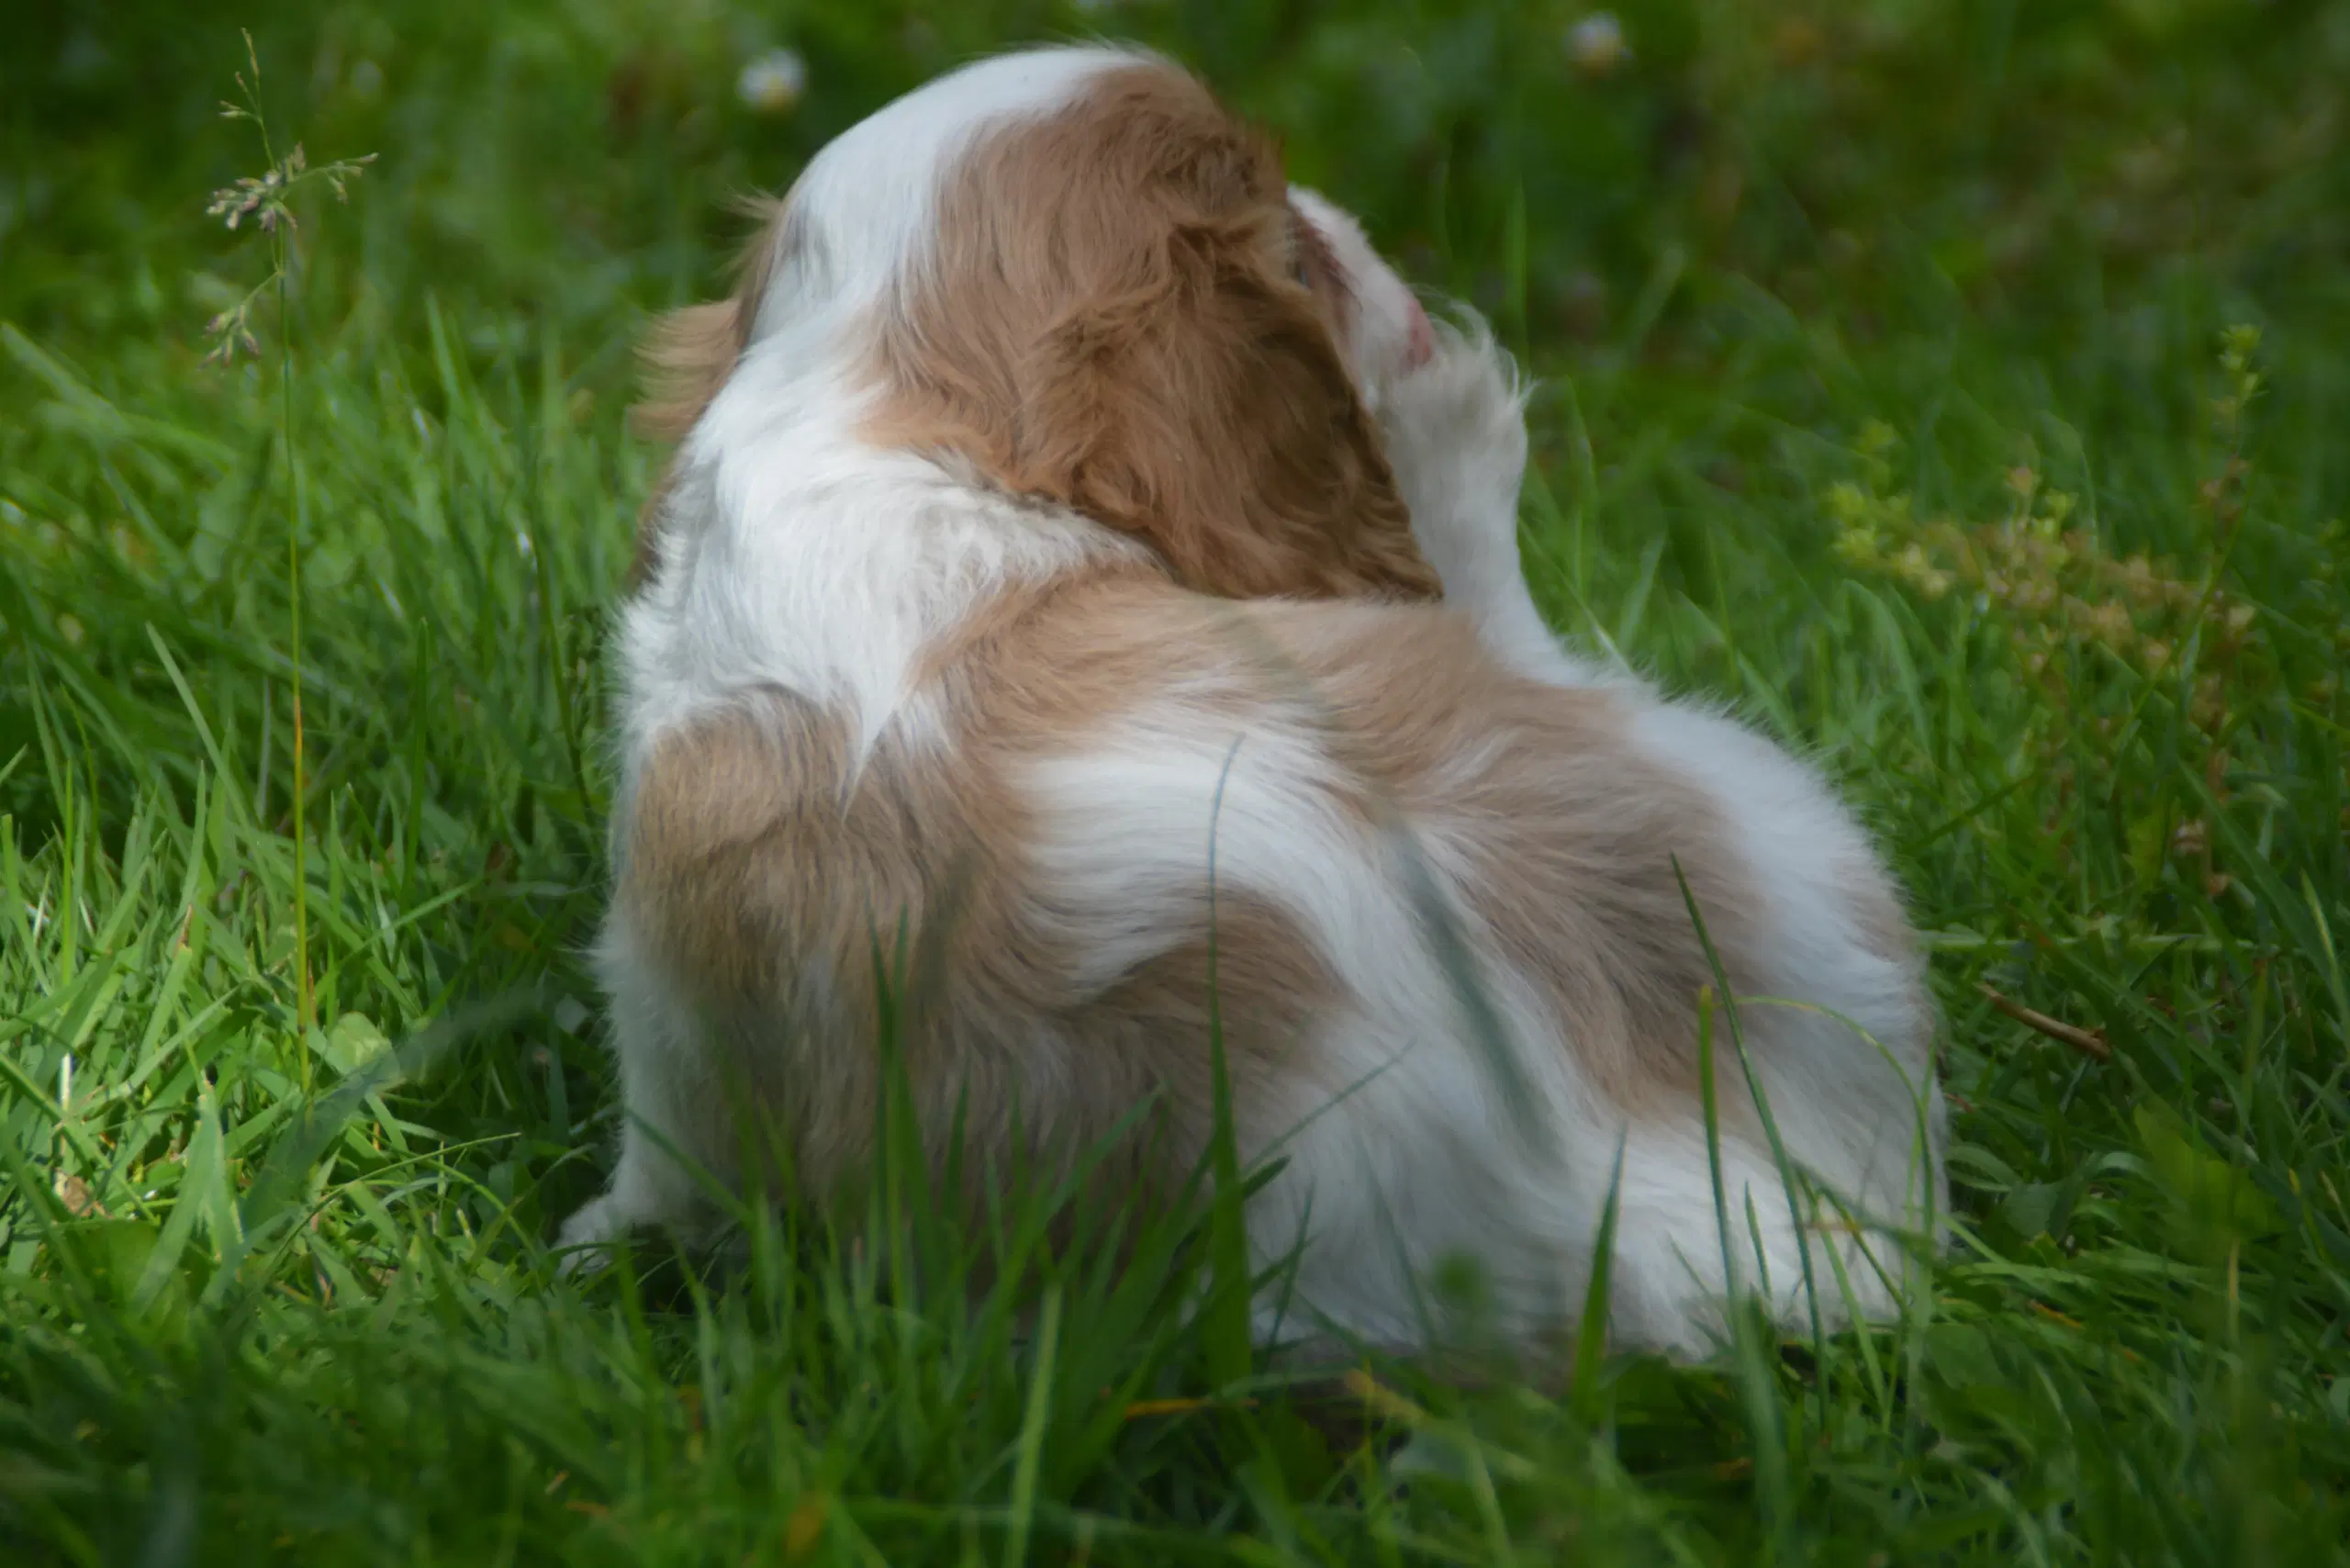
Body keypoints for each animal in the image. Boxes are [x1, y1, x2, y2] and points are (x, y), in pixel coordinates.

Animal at [568, 42, 1945, 1353]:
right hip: (1752, 803)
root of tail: (1653, 1206)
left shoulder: (664, 1018)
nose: (1340, 218)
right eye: (1293, 238)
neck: (882, 434)